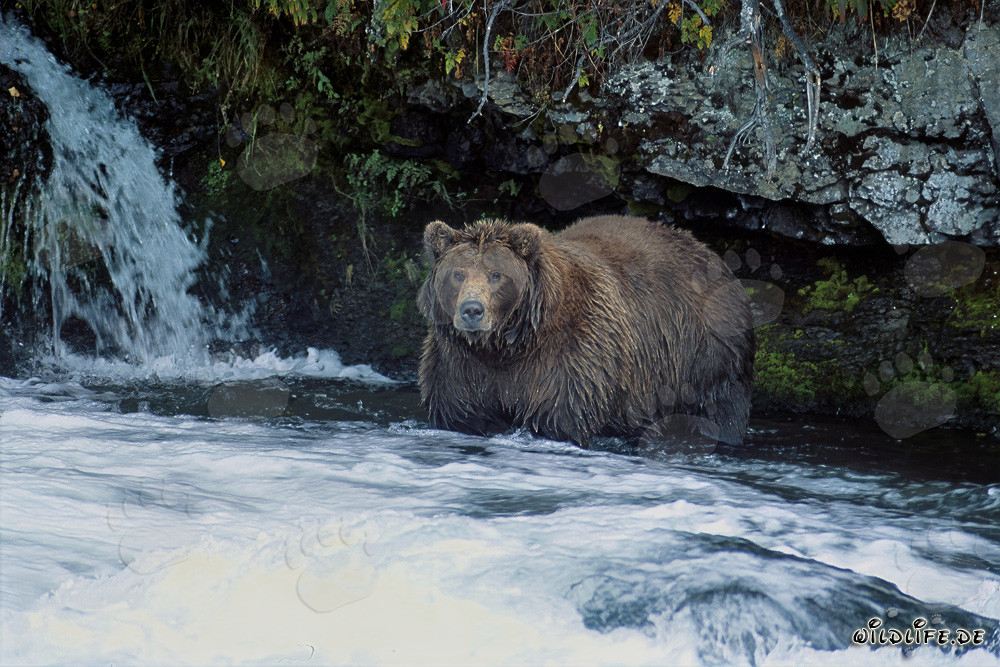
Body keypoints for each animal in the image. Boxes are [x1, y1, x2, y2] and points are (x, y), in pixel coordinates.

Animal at [417, 215, 755, 447]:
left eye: (496, 275)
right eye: (458, 274)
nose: (472, 310)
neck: (509, 345)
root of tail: (710, 253)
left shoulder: (574, 355)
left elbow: (560, 415)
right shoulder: (461, 364)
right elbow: (462, 410)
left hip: (706, 355)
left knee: (722, 407)